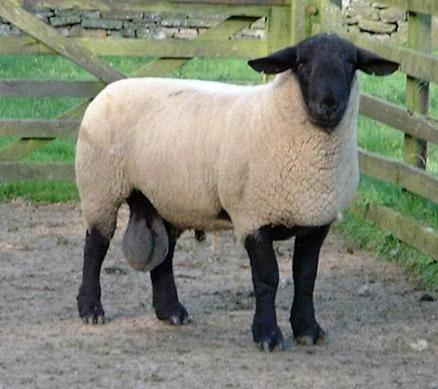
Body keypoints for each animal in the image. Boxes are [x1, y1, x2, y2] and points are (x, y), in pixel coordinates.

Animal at [76, 32, 400, 348]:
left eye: (351, 64)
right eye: (302, 64)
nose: (328, 104)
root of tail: (114, 86)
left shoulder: (317, 219)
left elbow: (306, 276)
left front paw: (308, 329)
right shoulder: (253, 218)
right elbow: (268, 278)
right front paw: (268, 335)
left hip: (166, 196)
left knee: (164, 254)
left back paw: (171, 311)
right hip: (100, 187)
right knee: (96, 246)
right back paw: (91, 309)